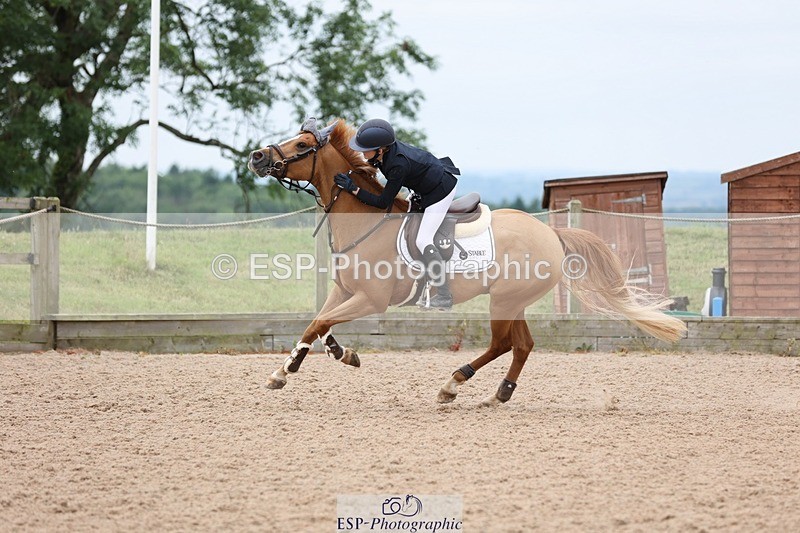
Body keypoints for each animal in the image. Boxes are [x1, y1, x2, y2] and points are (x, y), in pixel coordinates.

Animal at [248, 118, 686, 405]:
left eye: (301, 146)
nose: (256, 157)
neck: (365, 221)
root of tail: (552, 236)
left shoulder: (371, 300)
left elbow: (320, 323)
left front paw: (290, 371)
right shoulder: (344, 291)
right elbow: (317, 324)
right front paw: (317, 361)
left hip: (505, 299)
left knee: (503, 343)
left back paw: (453, 383)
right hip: (513, 300)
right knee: (522, 345)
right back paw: (498, 395)